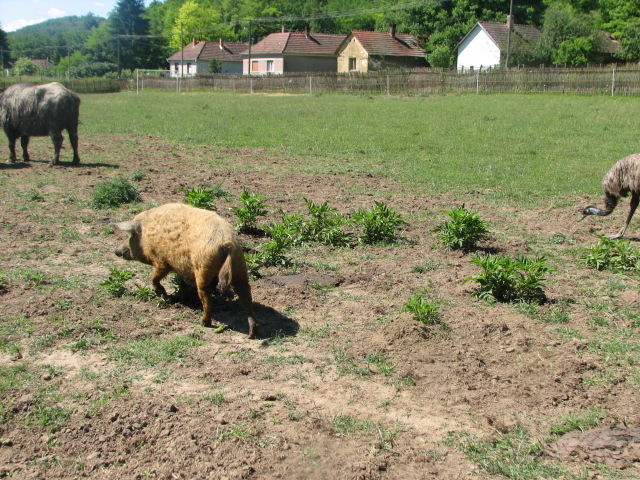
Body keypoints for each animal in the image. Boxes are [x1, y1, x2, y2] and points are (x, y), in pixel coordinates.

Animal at [113, 203, 258, 338]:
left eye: (130, 236)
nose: (116, 250)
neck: (145, 234)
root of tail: (227, 243)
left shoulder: (161, 260)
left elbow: (155, 277)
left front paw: (163, 294)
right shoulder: (179, 266)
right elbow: (181, 282)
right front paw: (181, 299)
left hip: (203, 269)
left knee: (206, 299)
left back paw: (203, 323)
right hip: (240, 267)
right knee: (246, 295)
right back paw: (251, 333)